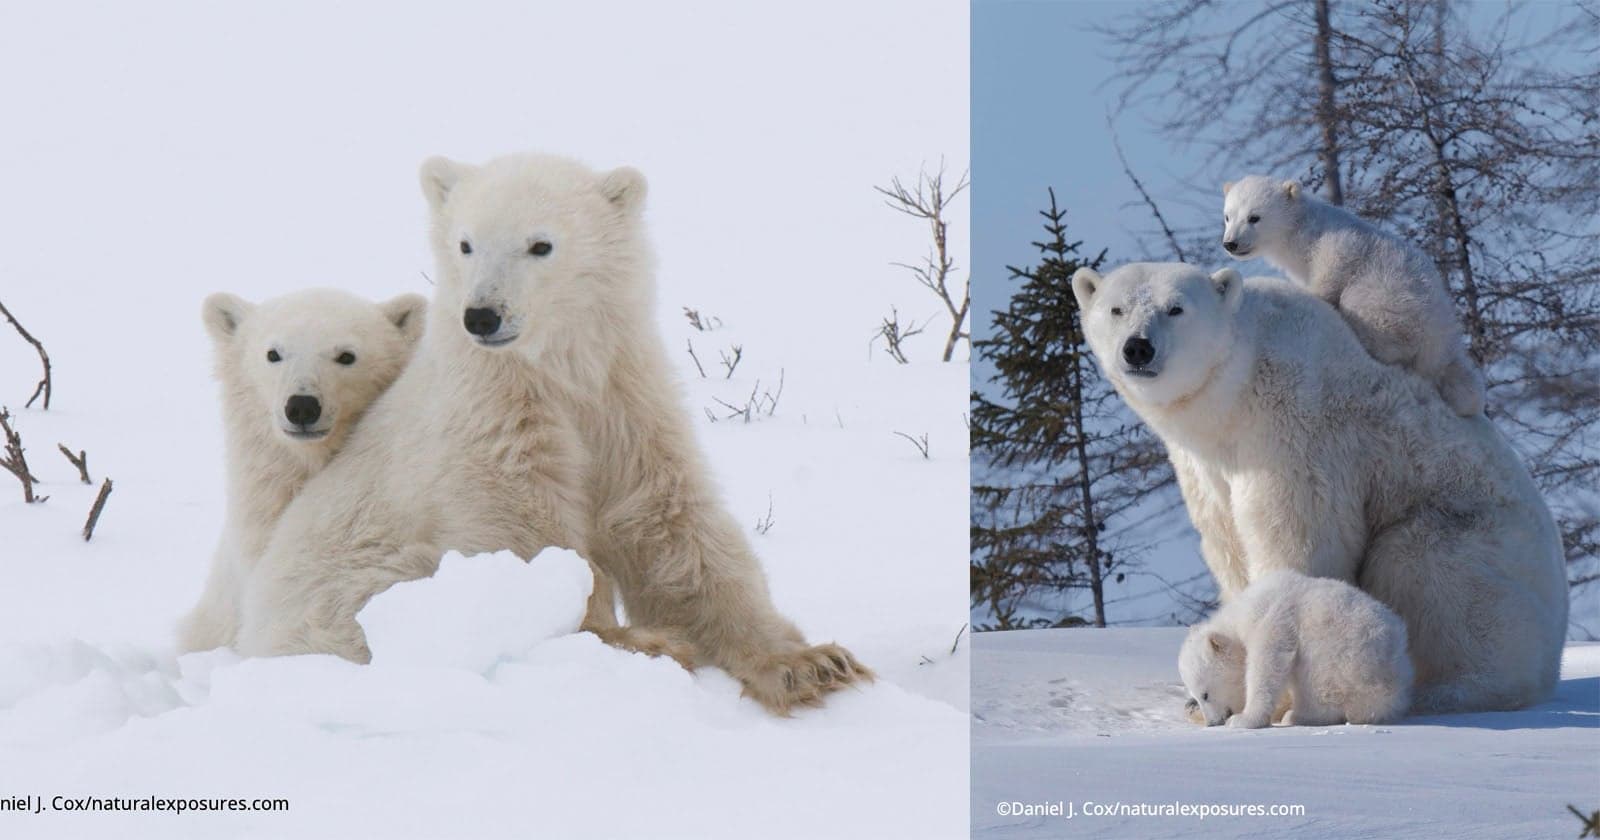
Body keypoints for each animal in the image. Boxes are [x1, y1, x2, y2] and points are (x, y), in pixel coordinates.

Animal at [234, 152, 868, 714]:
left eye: (541, 245)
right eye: (465, 243)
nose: (482, 316)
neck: (554, 373)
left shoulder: (624, 403)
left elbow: (668, 522)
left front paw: (808, 663)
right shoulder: (492, 419)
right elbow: (530, 539)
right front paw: (641, 642)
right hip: (344, 592)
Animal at [1179, 570, 1413, 728]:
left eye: (1205, 694)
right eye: (1195, 696)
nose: (1212, 722)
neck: (1243, 613)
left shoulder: (1274, 619)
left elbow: (1268, 662)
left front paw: (1244, 719)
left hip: (1343, 654)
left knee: (1318, 680)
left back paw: (1296, 716)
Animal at [1221, 175, 1485, 417]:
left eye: (1254, 217)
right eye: (1228, 216)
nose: (1230, 243)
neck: (1299, 229)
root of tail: (1443, 338)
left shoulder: (1335, 239)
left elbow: (1337, 263)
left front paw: (1314, 293)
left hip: (1393, 296)